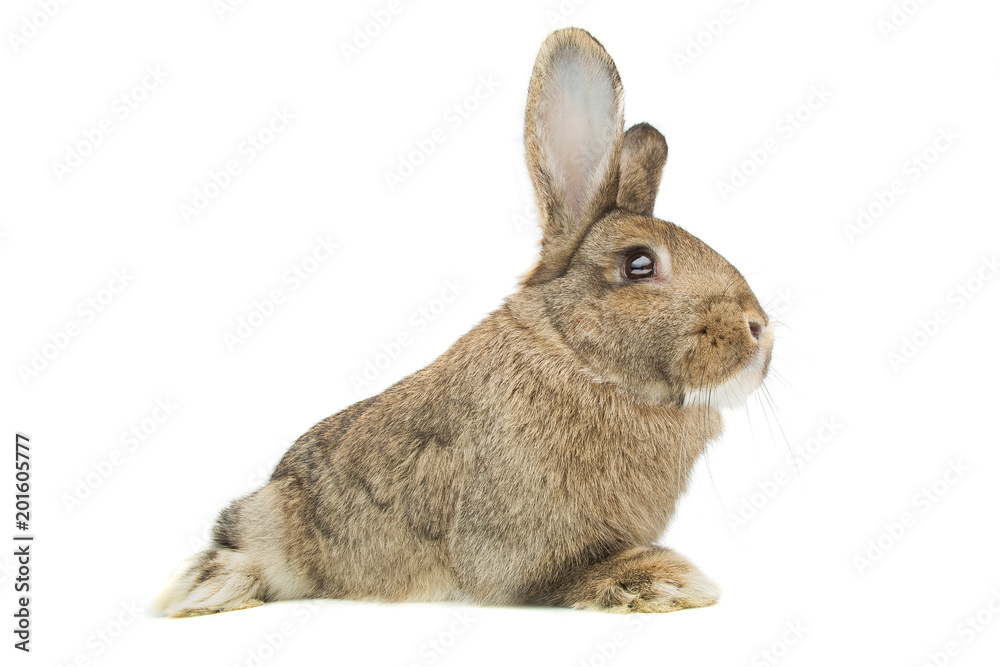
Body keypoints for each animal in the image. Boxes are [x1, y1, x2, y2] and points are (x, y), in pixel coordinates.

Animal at [155, 26, 773, 618]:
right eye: (639, 264)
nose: (758, 329)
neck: (577, 360)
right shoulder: (516, 545)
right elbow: (556, 578)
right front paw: (663, 582)